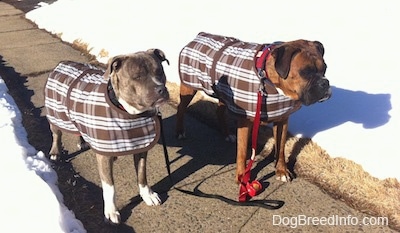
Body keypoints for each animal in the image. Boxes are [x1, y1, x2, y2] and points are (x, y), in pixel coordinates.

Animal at [45, 48, 170, 224]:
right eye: (137, 76)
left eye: (160, 71)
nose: (161, 89)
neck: (129, 112)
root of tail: (62, 63)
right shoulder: (104, 158)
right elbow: (110, 187)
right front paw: (111, 211)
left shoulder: (141, 148)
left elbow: (142, 175)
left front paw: (148, 195)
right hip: (57, 114)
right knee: (56, 134)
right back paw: (55, 152)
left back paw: (83, 141)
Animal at [176, 31, 332, 184]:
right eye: (305, 72)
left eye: (325, 69)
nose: (325, 83)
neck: (269, 80)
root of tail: (199, 35)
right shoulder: (245, 122)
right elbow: (243, 151)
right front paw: (242, 177)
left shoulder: (282, 120)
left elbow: (281, 147)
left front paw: (281, 171)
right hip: (189, 88)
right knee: (180, 108)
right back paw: (180, 132)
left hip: (223, 93)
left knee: (219, 111)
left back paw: (226, 134)